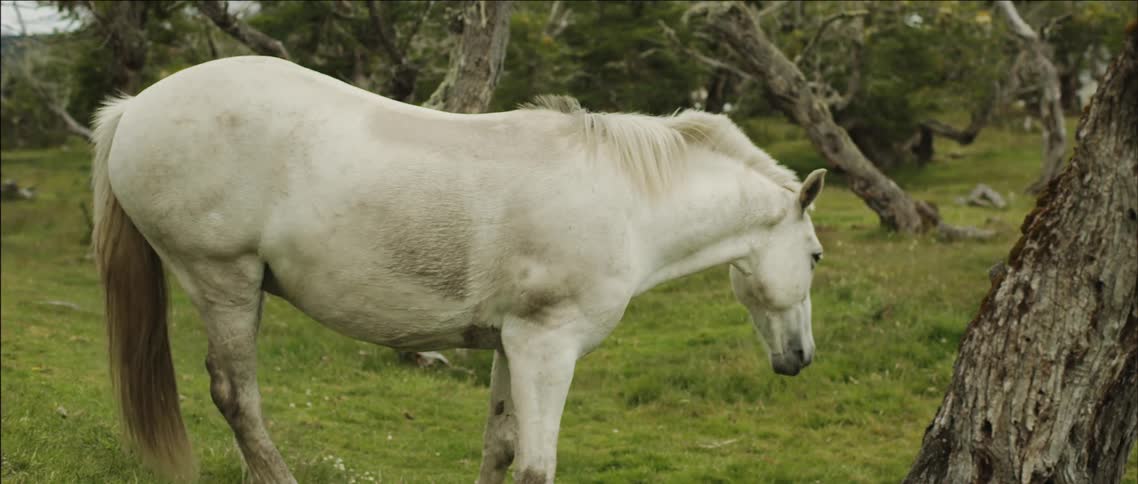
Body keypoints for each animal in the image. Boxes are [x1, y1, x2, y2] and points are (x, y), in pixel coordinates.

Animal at [91, 56, 826, 483]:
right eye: (816, 256)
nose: (801, 358)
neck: (625, 199)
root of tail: (135, 107)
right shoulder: (548, 348)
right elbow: (534, 466)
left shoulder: (513, 345)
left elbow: (499, 449)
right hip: (225, 282)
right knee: (237, 398)